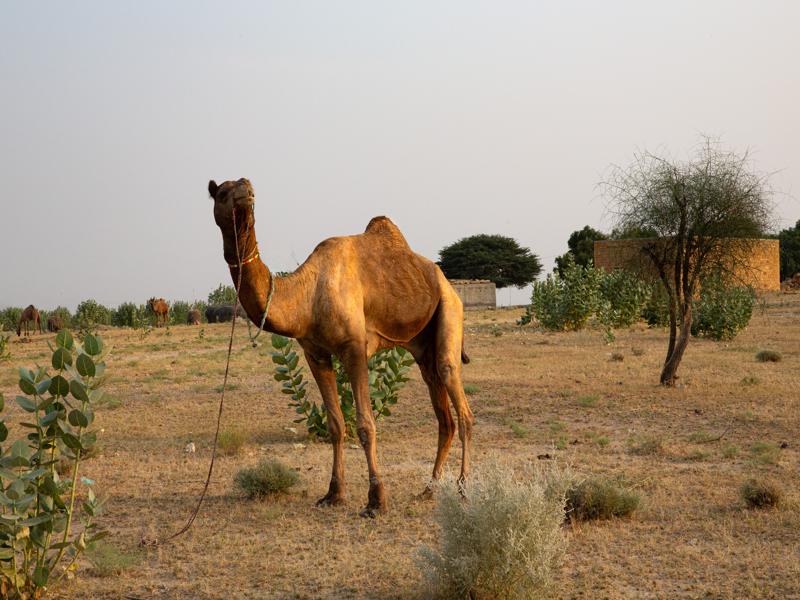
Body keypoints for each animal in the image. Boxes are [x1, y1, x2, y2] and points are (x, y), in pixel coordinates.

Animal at [206, 177, 478, 516]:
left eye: (247, 188)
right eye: (222, 193)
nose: (246, 191)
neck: (307, 296)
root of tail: (447, 283)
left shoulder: (354, 348)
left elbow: (365, 425)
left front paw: (376, 500)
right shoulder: (315, 353)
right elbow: (336, 424)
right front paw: (334, 493)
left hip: (450, 310)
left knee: (459, 402)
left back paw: (463, 491)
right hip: (422, 346)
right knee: (445, 417)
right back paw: (428, 490)